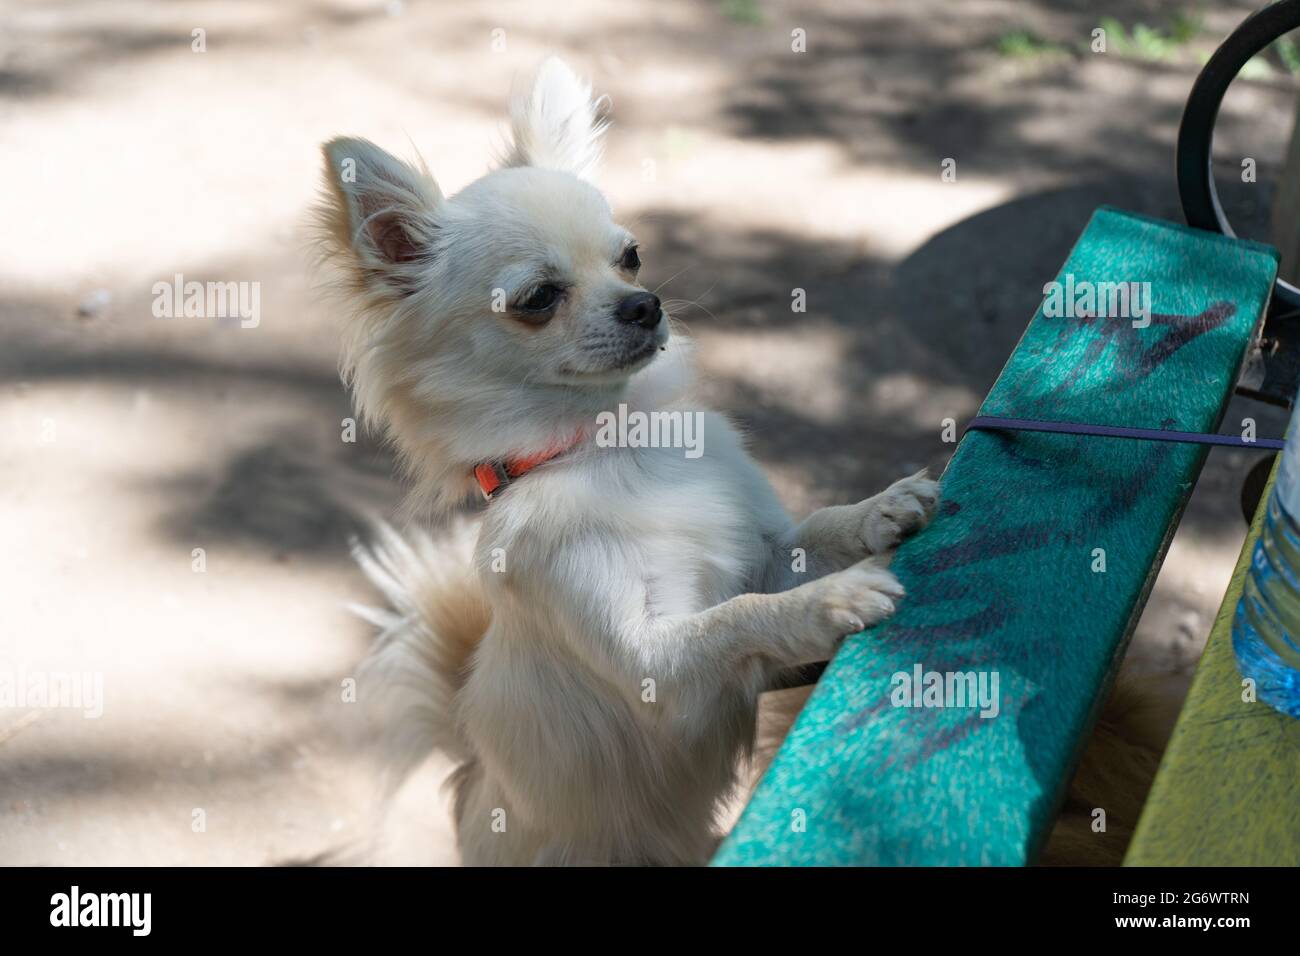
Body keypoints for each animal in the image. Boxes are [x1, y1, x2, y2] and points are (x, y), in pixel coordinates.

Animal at [319, 57, 941, 868]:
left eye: (631, 256)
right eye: (538, 297)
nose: (645, 305)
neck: (615, 445)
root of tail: (473, 769)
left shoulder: (762, 552)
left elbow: (812, 534)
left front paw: (882, 507)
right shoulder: (656, 666)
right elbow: (739, 617)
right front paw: (830, 602)